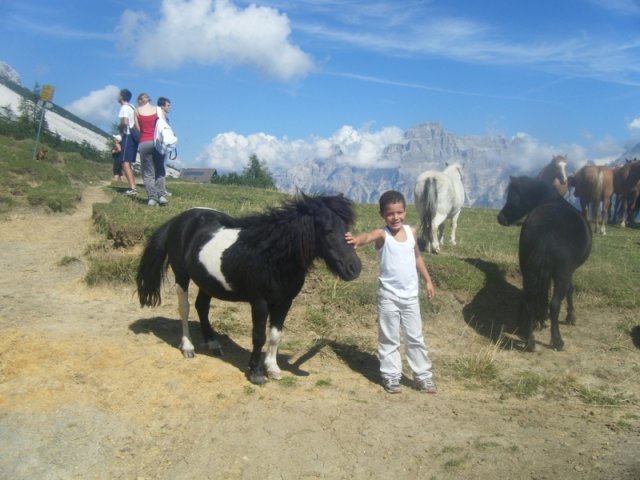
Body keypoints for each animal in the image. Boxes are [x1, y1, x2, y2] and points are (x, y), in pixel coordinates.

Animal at [136, 193, 362, 384]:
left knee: (202, 307)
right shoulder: (260, 302)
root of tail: (178, 219)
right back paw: (188, 347)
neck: (272, 256)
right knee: (185, 309)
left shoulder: (284, 302)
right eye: (327, 230)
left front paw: (273, 368)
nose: (354, 269)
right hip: (182, 277)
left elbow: (275, 335)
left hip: (207, 282)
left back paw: (212, 343)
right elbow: (259, 336)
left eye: (346, 227)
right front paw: (256, 372)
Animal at [498, 176, 592, 352]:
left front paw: (540, 319)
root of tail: (547, 228)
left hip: (527, 269)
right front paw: (570, 316)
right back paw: (557, 340)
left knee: (529, 299)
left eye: (512, 197)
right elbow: (570, 290)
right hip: (561, 275)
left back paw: (530, 340)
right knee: (554, 304)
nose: (500, 218)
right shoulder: (568, 272)